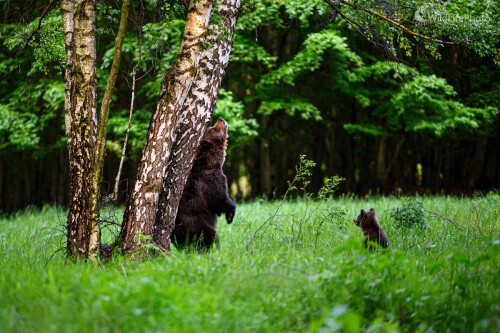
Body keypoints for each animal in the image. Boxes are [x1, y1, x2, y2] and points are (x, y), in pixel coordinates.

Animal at [173, 116, 237, 249]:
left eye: (212, 126)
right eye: (214, 128)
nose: (220, 118)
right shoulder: (211, 182)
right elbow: (220, 200)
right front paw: (230, 215)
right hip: (197, 225)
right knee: (210, 236)